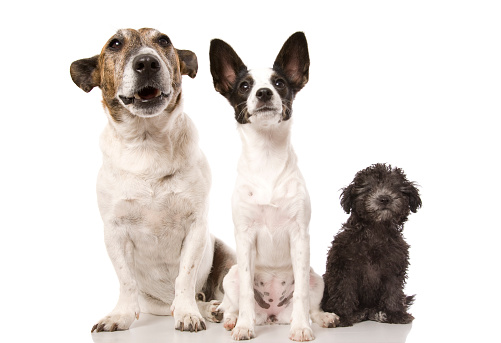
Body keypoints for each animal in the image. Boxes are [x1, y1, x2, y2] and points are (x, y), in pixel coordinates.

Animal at [70, 28, 234, 334]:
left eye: (164, 41)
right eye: (115, 43)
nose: (147, 62)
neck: (147, 145)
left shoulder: (196, 225)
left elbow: (185, 276)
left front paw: (187, 313)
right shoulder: (114, 231)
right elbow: (125, 279)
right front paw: (119, 315)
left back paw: (212, 308)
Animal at [209, 31, 338, 342]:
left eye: (279, 83)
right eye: (244, 86)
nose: (264, 93)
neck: (267, 156)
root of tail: (272, 316)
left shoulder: (299, 237)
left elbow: (302, 294)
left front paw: (301, 327)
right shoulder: (244, 238)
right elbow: (245, 292)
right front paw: (244, 326)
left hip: (317, 277)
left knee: (311, 301)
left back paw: (320, 318)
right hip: (230, 275)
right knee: (232, 301)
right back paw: (231, 319)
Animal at [320, 164, 418, 328]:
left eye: (395, 187)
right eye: (368, 188)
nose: (384, 199)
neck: (376, 230)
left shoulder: (393, 269)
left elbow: (393, 292)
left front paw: (395, 314)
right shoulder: (344, 269)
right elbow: (343, 291)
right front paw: (343, 316)